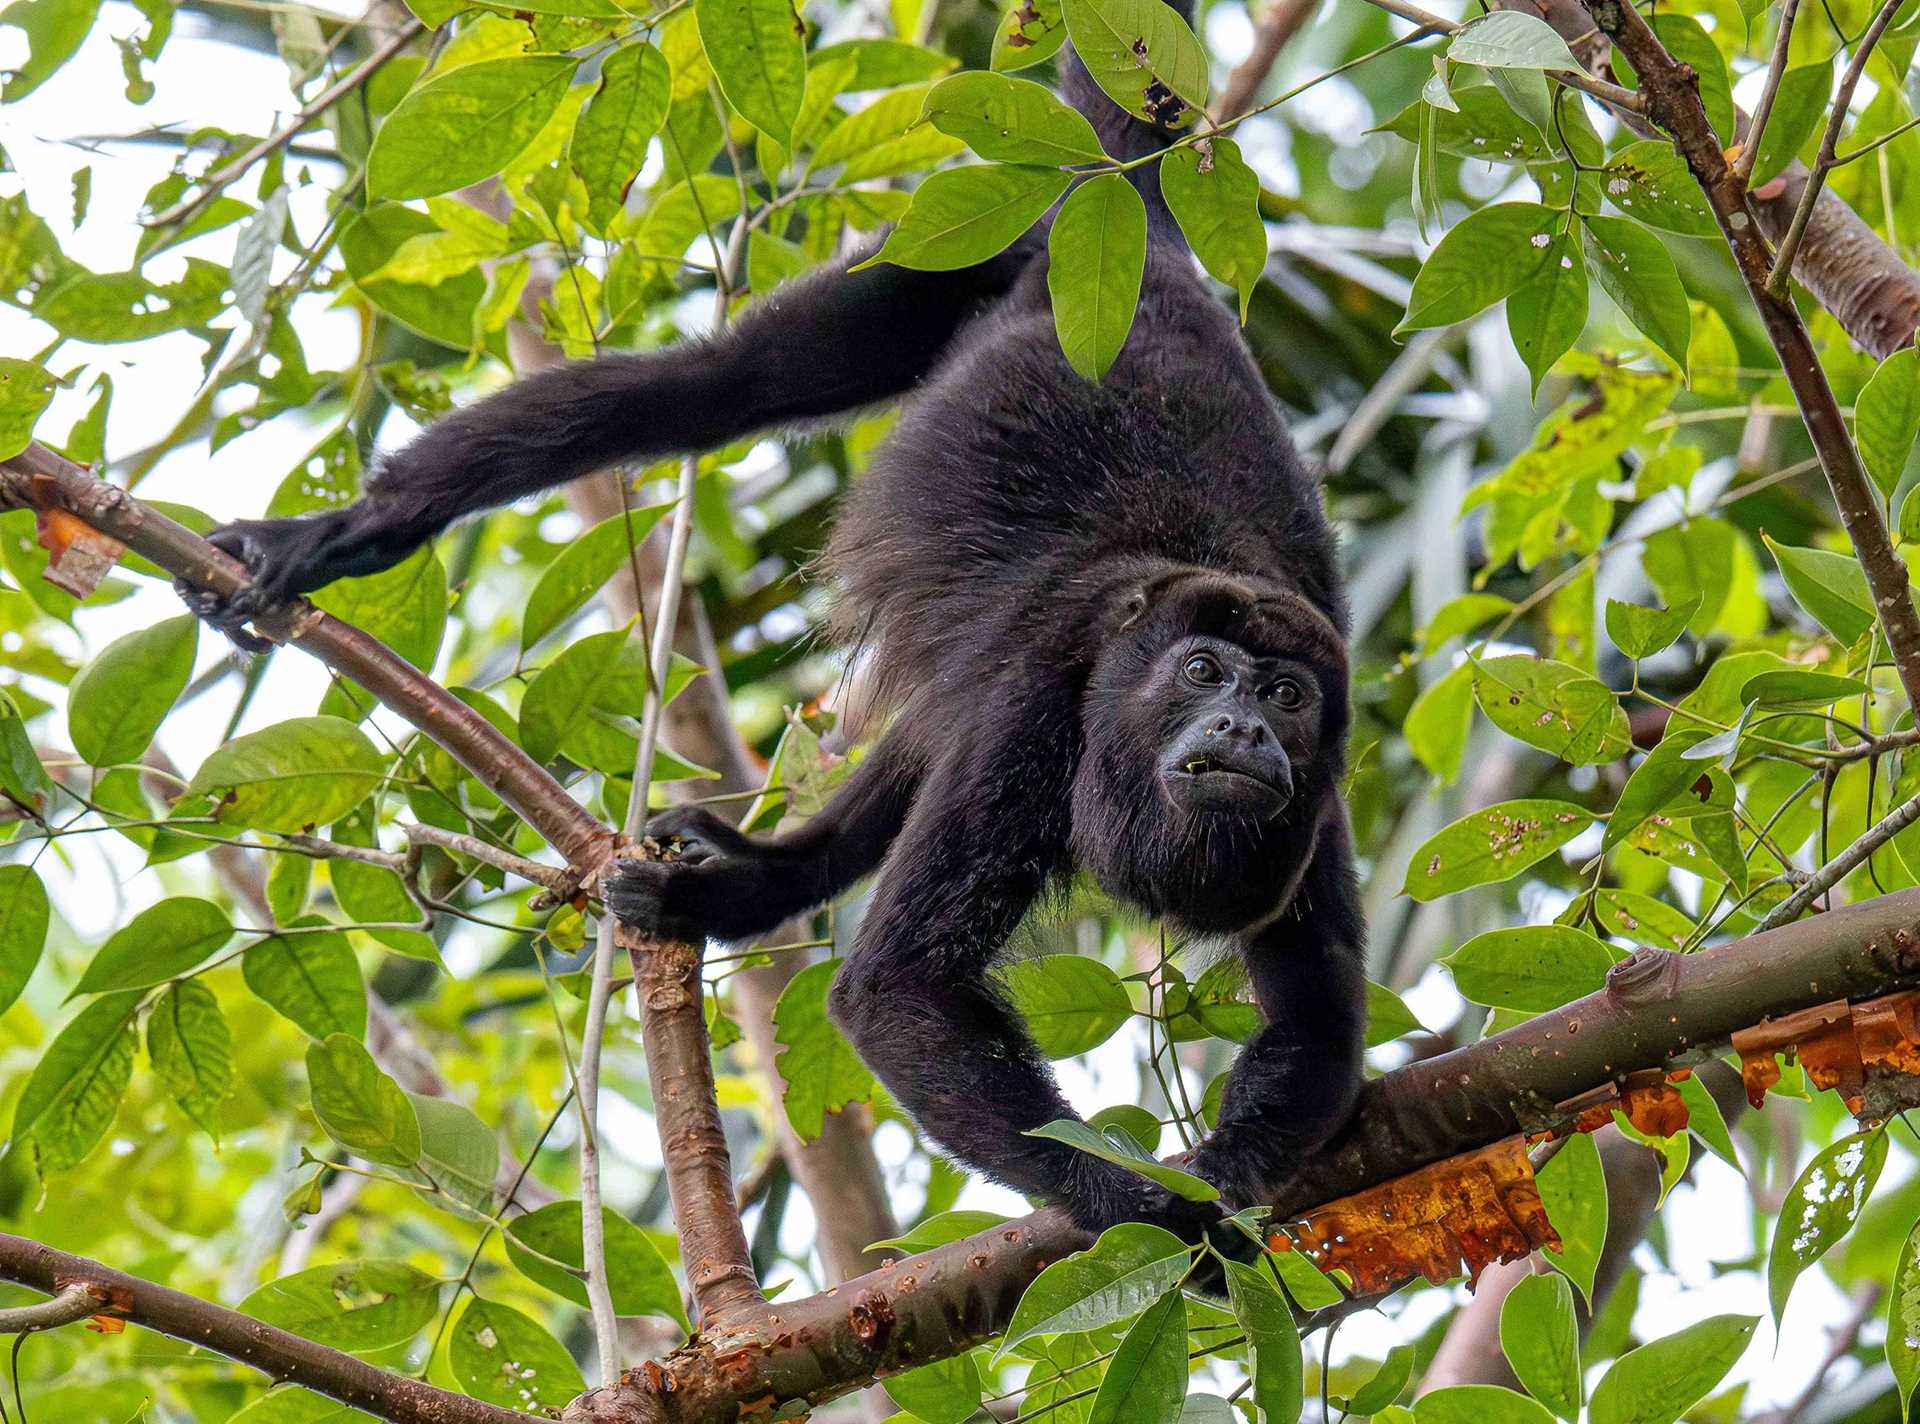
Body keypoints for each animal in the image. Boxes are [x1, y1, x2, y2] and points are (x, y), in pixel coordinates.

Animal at [183, 0, 1367, 1251]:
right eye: (1203, 671)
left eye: (1285, 694)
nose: (1245, 731)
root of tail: (1131, 220)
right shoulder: (1043, 707)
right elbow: (896, 989)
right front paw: (1156, 1211)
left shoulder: (1316, 793)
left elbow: (1320, 1023)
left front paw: (1235, 1176)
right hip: (955, 245)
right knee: (722, 383)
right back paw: (359, 526)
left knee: (915, 729)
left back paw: (754, 884)